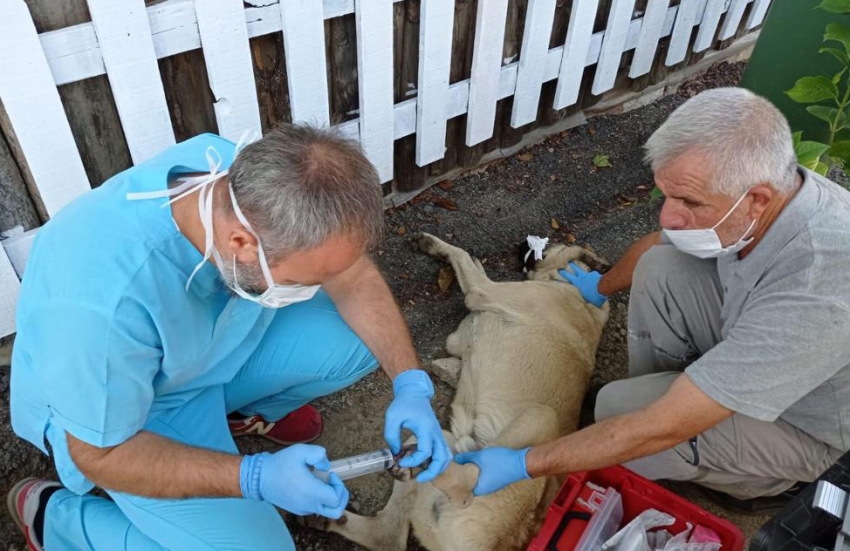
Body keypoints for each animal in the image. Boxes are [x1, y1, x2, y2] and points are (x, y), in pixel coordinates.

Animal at [308, 234, 608, 551]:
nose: (519, 244)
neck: (578, 294)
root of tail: (509, 539)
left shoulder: (481, 293)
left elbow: (464, 258)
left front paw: (437, 245)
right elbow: (469, 263)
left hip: (539, 417)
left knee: (465, 485)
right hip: (434, 441)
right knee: (388, 536)